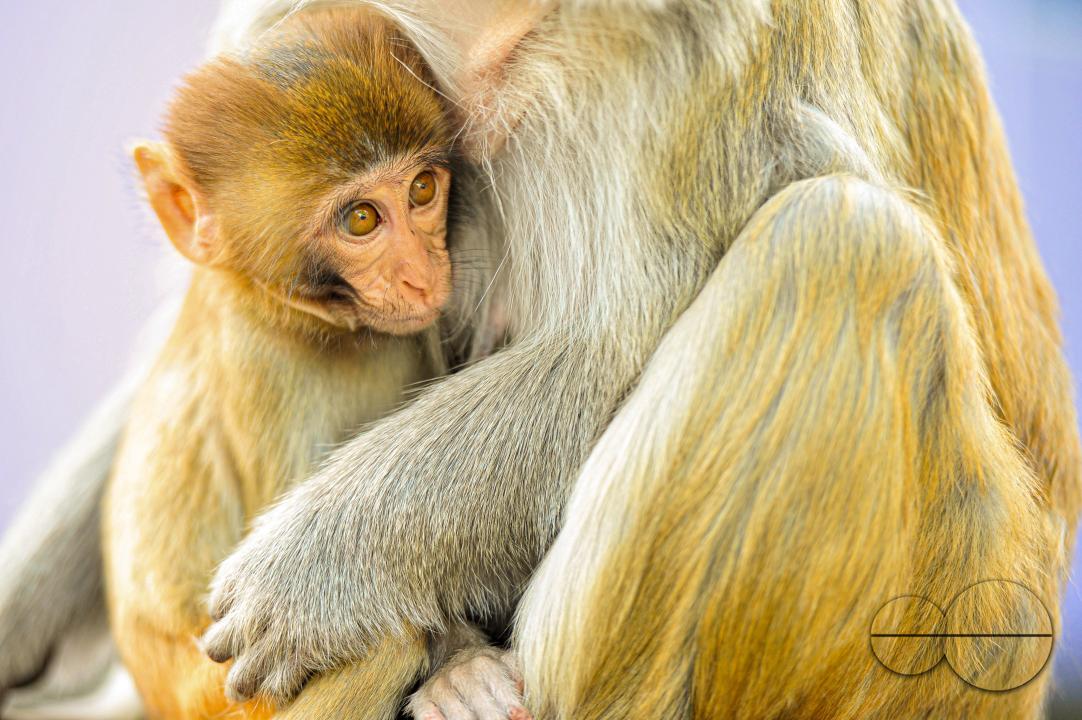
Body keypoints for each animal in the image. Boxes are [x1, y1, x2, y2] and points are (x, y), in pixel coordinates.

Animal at [2, 1, 1079, 719]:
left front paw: (307, 574)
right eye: (365, 218)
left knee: (845, 243)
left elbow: (607, 344)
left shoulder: (712, 55)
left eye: (421, 195)